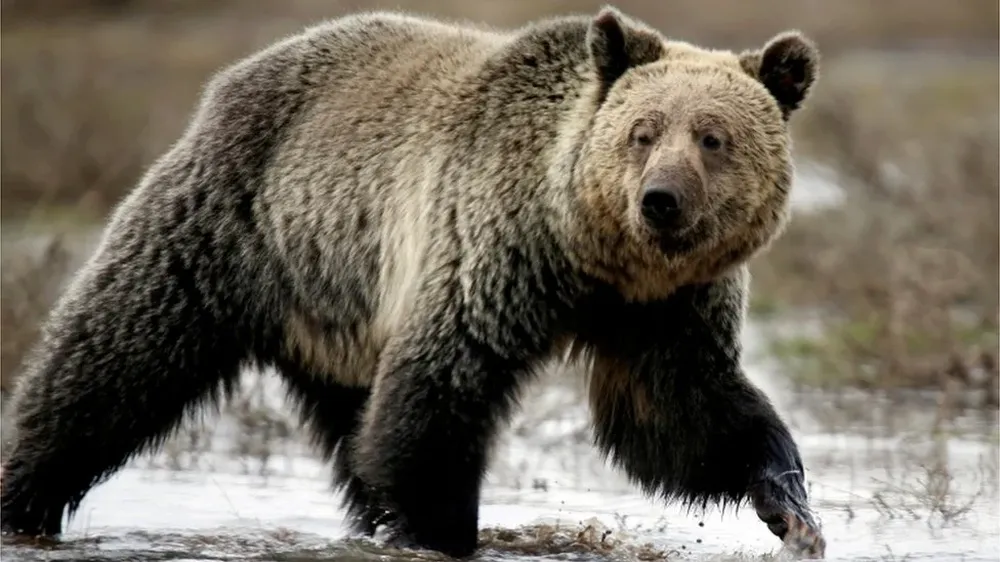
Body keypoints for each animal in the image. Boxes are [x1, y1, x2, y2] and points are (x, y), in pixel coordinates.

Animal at [0, 5, 824, 559]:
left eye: (713, 138)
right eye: (642, 131)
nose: (660, 199)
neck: (592, 255)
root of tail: (234, 76)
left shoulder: (665, 309)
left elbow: (680, 414)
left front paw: (790, 503)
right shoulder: (492, 249)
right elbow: (440, 390)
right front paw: (443, 529)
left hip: (338, 308)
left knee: (353, 426)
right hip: (230, 227)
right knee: (112, 361)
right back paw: (24, 496)